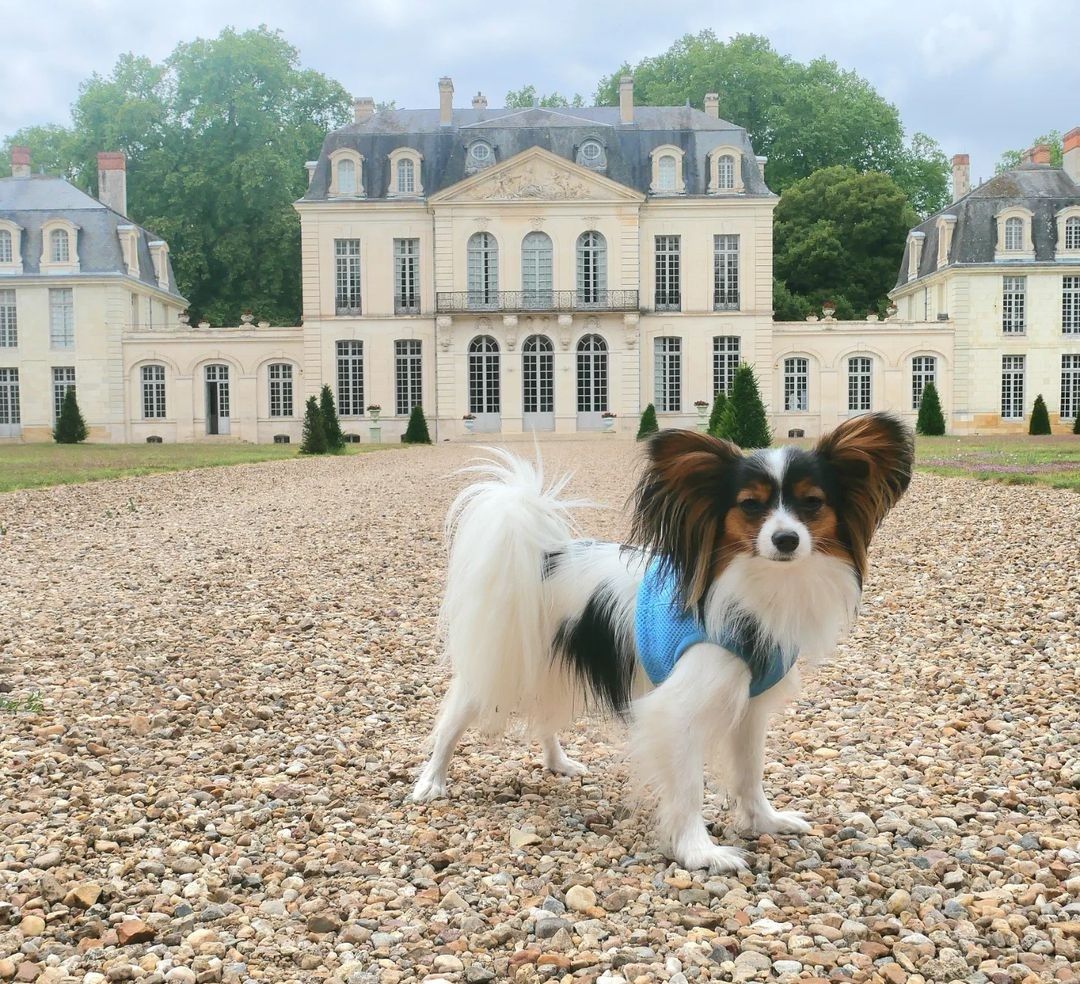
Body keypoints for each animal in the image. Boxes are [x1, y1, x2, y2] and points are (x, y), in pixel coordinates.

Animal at [410, 412, 911, 872]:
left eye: (812, 503)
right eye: (751, 506)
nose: (786, 539)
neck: (757, 588)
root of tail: (545, 557)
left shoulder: (749, 709)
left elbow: (750, 774)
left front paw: (765, 822)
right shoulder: (677, 711)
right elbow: (689, 788)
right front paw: (700, 852)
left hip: (548, 664)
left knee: (544, 716)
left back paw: (559, 763)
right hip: (501, 662)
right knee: (452, 721)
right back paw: (431, 783)